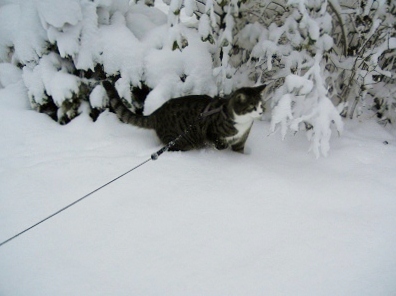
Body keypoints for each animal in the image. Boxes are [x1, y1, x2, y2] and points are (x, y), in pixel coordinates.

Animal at [103, 80, 266, 154]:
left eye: (261, 104)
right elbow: (217, 140)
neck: (242, 123)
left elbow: (239, 150)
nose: (261, 112)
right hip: (180, 140)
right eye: (252, 106)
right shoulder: (210, 131)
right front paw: (221, 146)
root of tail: (156, 113)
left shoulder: (241, 141)